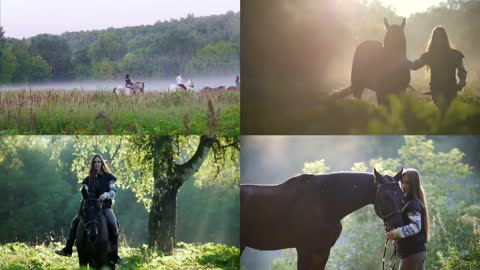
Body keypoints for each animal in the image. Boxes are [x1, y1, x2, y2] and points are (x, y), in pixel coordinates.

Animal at [240, 169, 404, 270]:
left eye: (402, 194)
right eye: (385, 196)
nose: (398, 226)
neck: (323, 202)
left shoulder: (322, 250)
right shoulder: (304, 249)